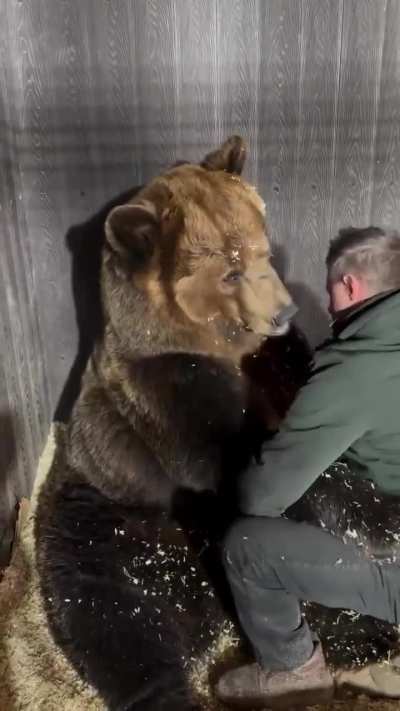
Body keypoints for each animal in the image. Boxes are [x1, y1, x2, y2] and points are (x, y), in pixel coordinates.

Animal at [34, 135, 302, 711]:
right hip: (105, 529)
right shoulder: (169, 388)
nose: (284, 312)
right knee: (120, 629)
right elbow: (226, 457)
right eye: (229, 270)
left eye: (263, 249)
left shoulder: (272, 360)